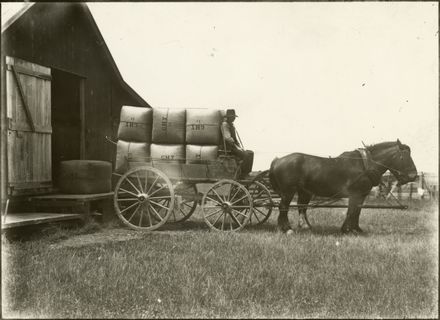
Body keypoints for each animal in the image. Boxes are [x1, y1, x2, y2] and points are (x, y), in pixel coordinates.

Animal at [270, 139, 418, 232]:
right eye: (403, 157)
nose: (413, 176)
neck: (365, 165)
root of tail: (278, 160)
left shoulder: (361, 195)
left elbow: (356, 211)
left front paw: (356, 229)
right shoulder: (355, 194)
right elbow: (352, 211)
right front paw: (347, 229)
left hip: (304, 192)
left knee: (301, 208)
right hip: (288, 191)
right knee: (283, 207)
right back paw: (287, 229)